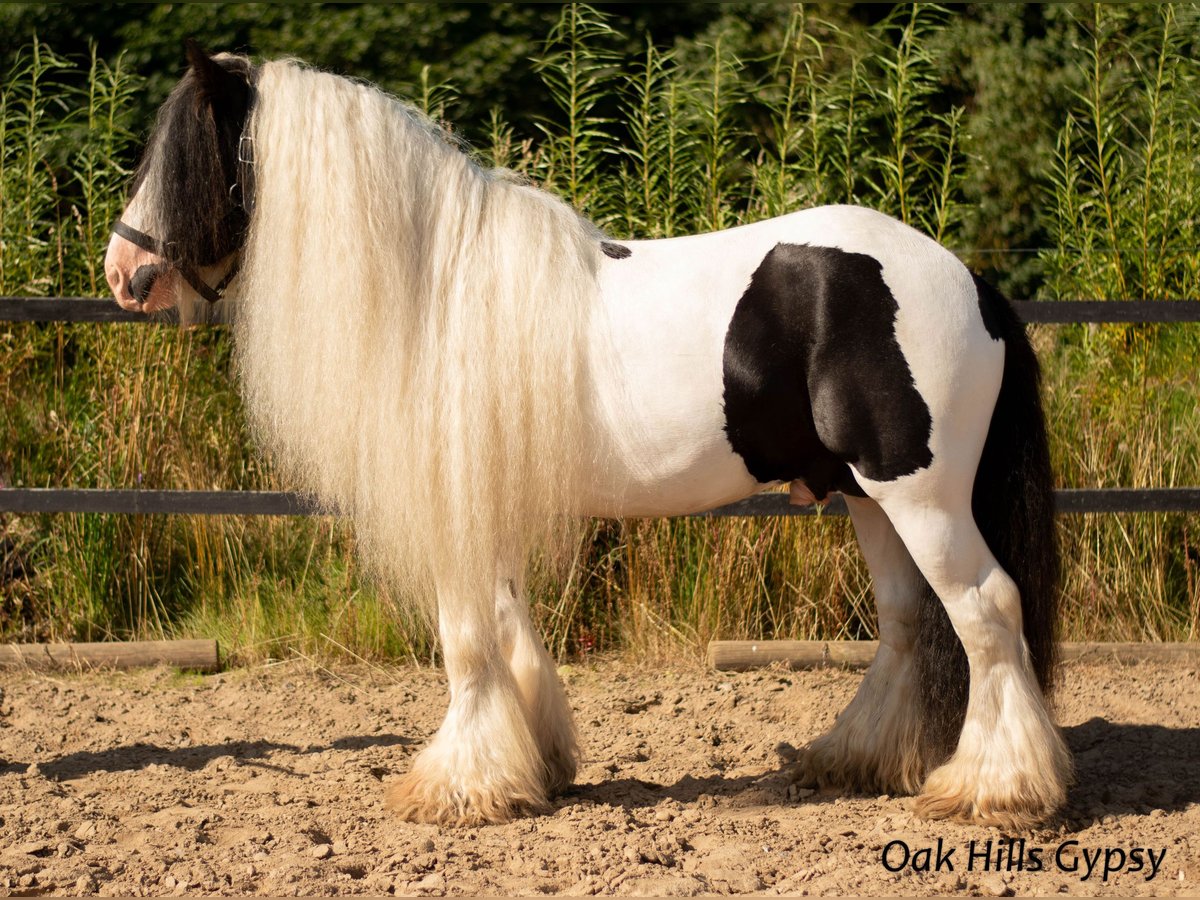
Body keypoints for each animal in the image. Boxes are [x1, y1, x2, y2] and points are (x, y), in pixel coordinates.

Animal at [108, 44, 1075, 830]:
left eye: (186, 156)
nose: (123, 272)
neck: (433, 287)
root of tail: (968, 281)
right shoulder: (487, 501)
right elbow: (511, 631)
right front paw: (530, 766)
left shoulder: (453, 511)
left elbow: (466, 640)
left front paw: (454, 788)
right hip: (868, 499)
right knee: (912, 623)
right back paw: (860, 762)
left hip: (920, 497)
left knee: (988, 609)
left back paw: (998, 791)